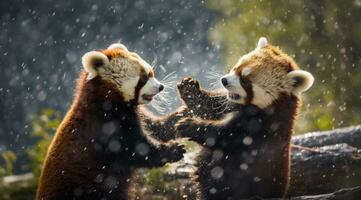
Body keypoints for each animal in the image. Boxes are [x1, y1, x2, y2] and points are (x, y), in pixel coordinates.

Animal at [35, 43, 186, 199]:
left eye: (152, 73)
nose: (161, 87)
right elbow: (136, 150)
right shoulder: (104, 127)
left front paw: (178, 116)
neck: (109, 101)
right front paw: (172, 150)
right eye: (144, 78)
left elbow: (155, 128)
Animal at [174, 38, 312, 200]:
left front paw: (189, 126)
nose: (224, 81)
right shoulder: (231, 104)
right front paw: (190, 90)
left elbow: (223, 136)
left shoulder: (263, 127)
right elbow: (211, 108)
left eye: (245, 80)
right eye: (235, 68)